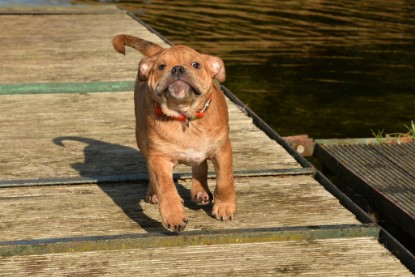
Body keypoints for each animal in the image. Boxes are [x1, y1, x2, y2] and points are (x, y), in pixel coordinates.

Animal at [113, 35, 237, 232]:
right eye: (161, 67)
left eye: (196, 64)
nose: (178, 68)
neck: (184, 115)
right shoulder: (159, 157)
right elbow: (166, 187)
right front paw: (174, 215)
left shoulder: (222, 150)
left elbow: (225, 180)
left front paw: (224, 207)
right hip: (143, 141)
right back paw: (154, 194)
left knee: (200, 165)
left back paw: (200, 191)